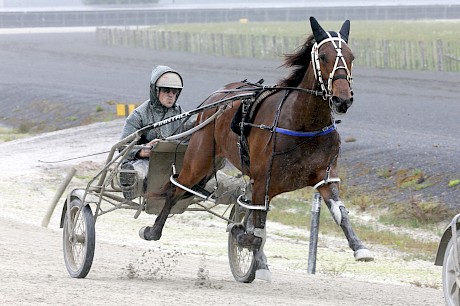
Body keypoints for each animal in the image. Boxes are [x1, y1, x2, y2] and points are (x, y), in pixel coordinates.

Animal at [140, 16, 374, 280]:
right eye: (323, 56)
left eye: (352, 56)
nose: (342, 99)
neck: (303, 124)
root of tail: (217, 96)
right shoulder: (264, 178)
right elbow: (255, 227)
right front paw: (248, 244)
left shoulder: (324, 176)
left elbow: (339, 212)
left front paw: (360, 248)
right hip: (200, 157)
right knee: (176, 187)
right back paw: (153, 230)